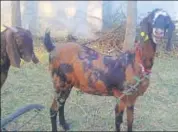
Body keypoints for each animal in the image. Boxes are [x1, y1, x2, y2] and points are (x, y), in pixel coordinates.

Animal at [42, 8, 171, 131]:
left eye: (167, 20)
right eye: (151, 19)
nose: (158, 32)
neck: (135, 61)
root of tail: (52, 48)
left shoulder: (131, 100)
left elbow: (130, 122)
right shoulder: (121, 98)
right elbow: (118, 122)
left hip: (67, 84)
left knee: (61, 104)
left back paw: (64, 125)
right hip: (59, 82)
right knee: (53, 109)